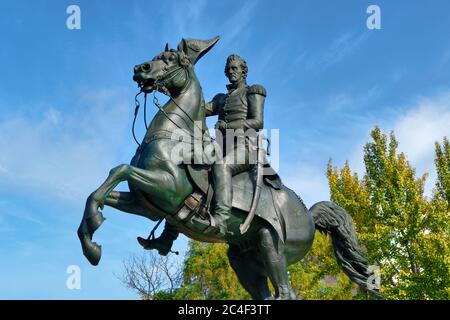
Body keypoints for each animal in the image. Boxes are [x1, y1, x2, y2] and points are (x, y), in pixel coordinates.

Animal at [77, 37, 380, 300]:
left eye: (171, 59)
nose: (140, 69)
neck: (175, 135)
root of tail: (308, 214)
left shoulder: (165, 186)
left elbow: (119, 170)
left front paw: (94, 230)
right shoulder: (146, 204)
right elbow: (99, 191)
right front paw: (91, 243)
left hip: (272, 247)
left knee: (285, 293)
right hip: (243, 258)